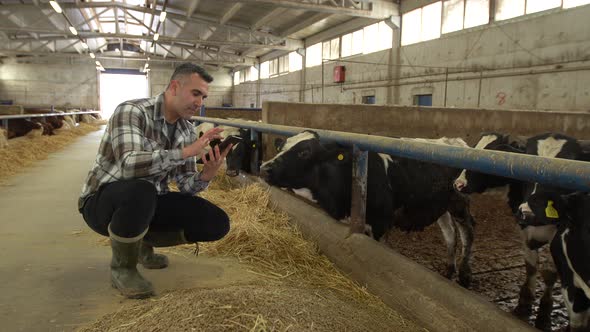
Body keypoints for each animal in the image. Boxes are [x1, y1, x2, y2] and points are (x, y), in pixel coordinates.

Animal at [262, 131, 478, 286]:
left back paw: (464, 275)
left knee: (467, 231)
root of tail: (453, 141)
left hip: (459, 201)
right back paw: (448, 269)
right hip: (439, 205)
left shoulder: (381, 224)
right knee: (449, 232)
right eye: (281, 147)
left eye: (304, 152)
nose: (264, 168)